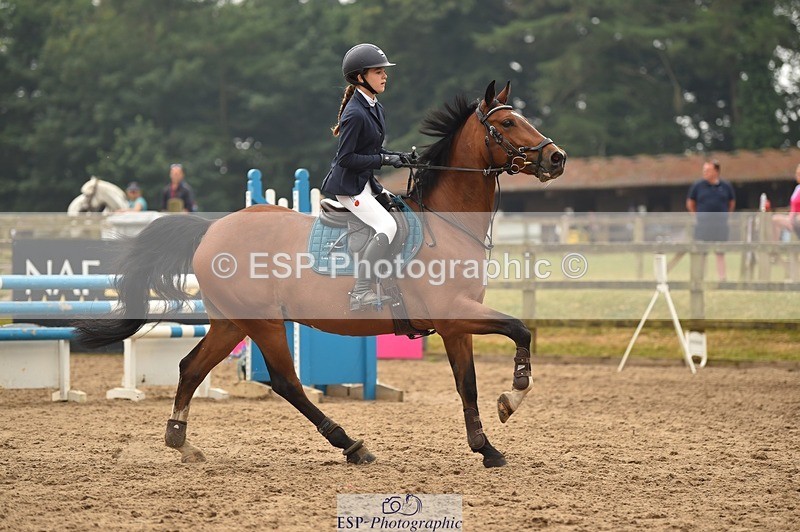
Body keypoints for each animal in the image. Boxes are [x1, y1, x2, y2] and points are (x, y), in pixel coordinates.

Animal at [75, 81, 567, 468]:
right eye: (508, 124)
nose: (557, 158)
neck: (447, 223)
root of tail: (212, 229)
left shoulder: (456, 325)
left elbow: (468, 384)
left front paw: (487, 445)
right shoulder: (453, 314)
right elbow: (518, 331)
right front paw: (512, 398)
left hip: (232, 321)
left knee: (191, 367)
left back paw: (181, 441)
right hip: (263, 322)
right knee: (286, 382)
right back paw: (351, 444)